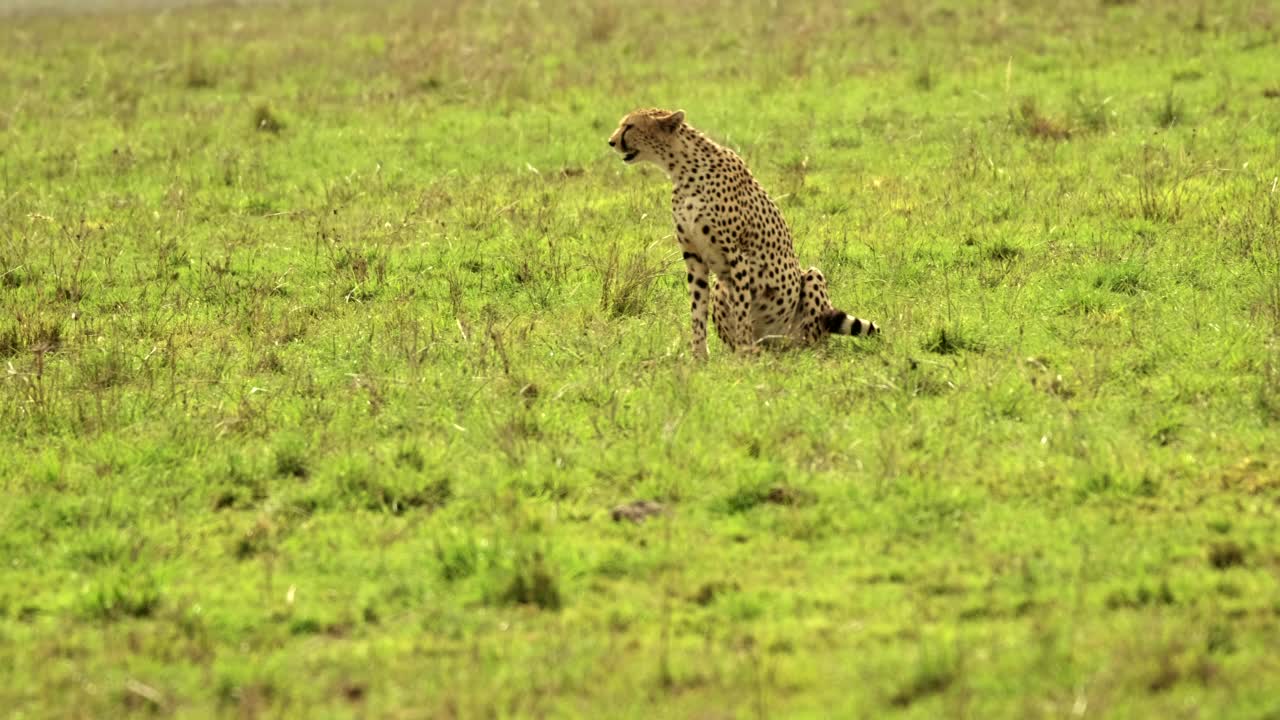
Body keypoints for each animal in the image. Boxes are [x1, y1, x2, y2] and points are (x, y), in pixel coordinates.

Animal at [604, 107, 875, 356]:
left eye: (629, 126)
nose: (611, 141)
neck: (681, 167)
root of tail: (777, 343)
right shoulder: (694, 257)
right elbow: (697, 310)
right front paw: (699, 358)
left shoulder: (737, 254)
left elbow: (742, 308)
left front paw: (744, 356)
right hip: (720, 288)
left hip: (811, 279)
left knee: (813, 338)